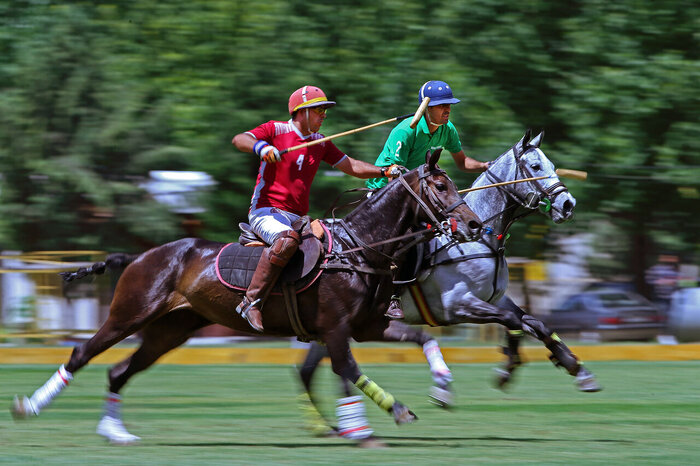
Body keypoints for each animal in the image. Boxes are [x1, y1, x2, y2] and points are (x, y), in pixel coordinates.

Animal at [12, 150, 482, 444]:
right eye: (441, 185)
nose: (475, 225)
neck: (361, 247)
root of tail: (140, 255)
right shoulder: (335, 328)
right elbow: (346, 368)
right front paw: (390, 414)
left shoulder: (367, 325)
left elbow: (422, 338)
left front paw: (443, 388)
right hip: (130, 313)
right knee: (82, 354)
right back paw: (28, 407)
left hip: (171, 330)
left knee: (119, 371)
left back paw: (116, 433)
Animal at [298, 130, 600, 440]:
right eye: (536, 166)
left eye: (551, 164)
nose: (568, 204)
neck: (481, 239)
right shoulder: (457, 305)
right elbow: (514, 320)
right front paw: (492, 374)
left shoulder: (494, 298)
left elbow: (533, 323)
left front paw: (575, 368)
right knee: (316, 369)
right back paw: (335, 425)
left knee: (308, 370)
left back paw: (326, 425)